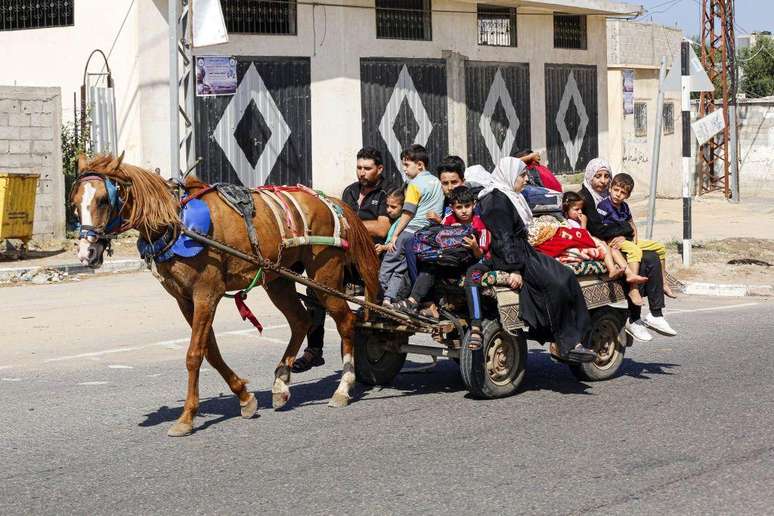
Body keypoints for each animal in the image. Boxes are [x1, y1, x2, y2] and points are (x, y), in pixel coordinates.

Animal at [69, 152, 382, 436]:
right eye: (75, 204)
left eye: (103, 200)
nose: (86, 253)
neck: (177, 223)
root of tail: (329, 201)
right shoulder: (185, 300)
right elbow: (211, 351)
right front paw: (245, 397)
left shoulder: (207, 294)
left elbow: (195, 354)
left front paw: (187, 417)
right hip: (278, 279)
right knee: (300, 321)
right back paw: (281, 383)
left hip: (324, 277)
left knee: (345, 322)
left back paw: (343, 388)